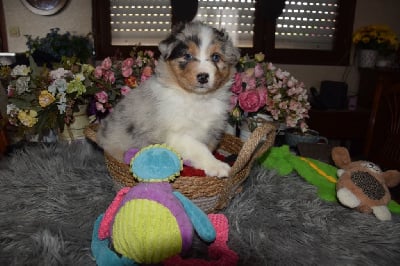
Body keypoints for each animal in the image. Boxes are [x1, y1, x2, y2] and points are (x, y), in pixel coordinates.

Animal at [96, 21, 241, 177]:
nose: (203, 77)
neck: (197, 98)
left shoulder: (212, 130)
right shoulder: (175, 134)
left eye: (215, 57)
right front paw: (217, 166)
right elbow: (199, 147)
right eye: (187, 56)